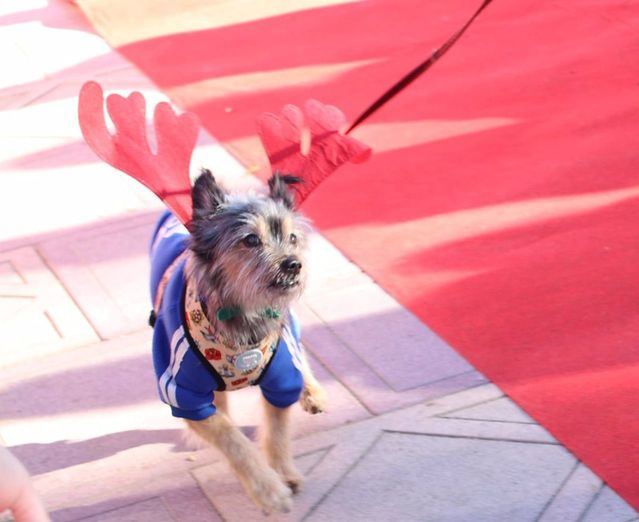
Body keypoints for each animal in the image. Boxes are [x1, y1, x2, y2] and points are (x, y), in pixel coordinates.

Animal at [148, 169, 328, 510]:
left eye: (292, 238)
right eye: (251, 240)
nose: (293, 263)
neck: (243, 313)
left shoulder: (281, 379)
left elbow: (277, 431)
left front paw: (282, 473)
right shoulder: (185, 394)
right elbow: (231, 438)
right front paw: (268, 490)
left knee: (298, 344)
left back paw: (312, 390)